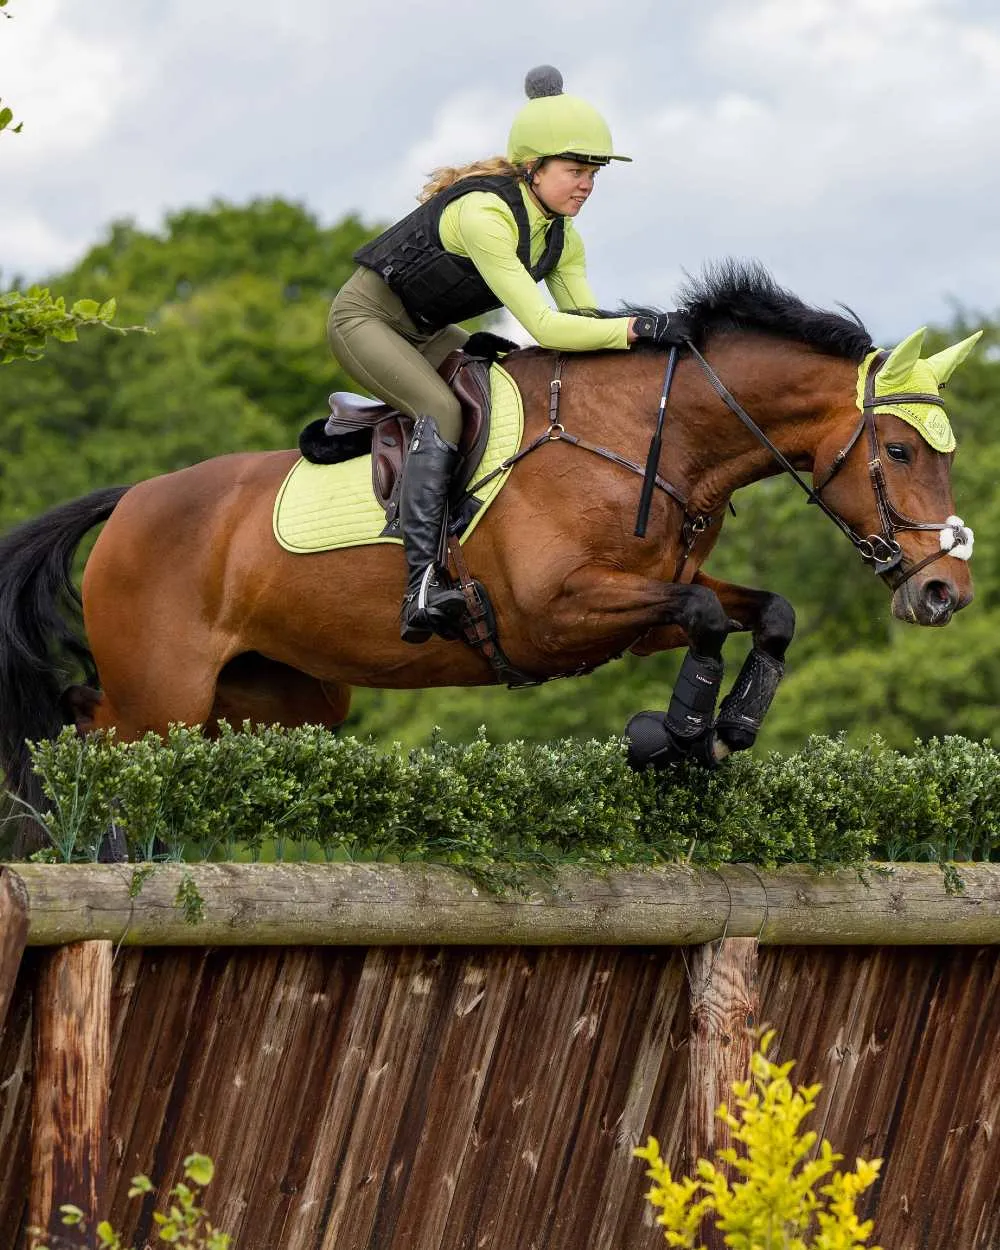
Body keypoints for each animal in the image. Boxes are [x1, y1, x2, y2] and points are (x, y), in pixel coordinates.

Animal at [0, 262, 975, 830]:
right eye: (899, 452)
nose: (945, 593)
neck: (647, 436)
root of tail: (132, 498)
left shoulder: (635, 616)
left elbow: (766, 610)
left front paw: (721, 728)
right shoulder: (555, 614)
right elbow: (704, 611)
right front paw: (676, 734)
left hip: (272, 699)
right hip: (160, 698)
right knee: (87, 737)